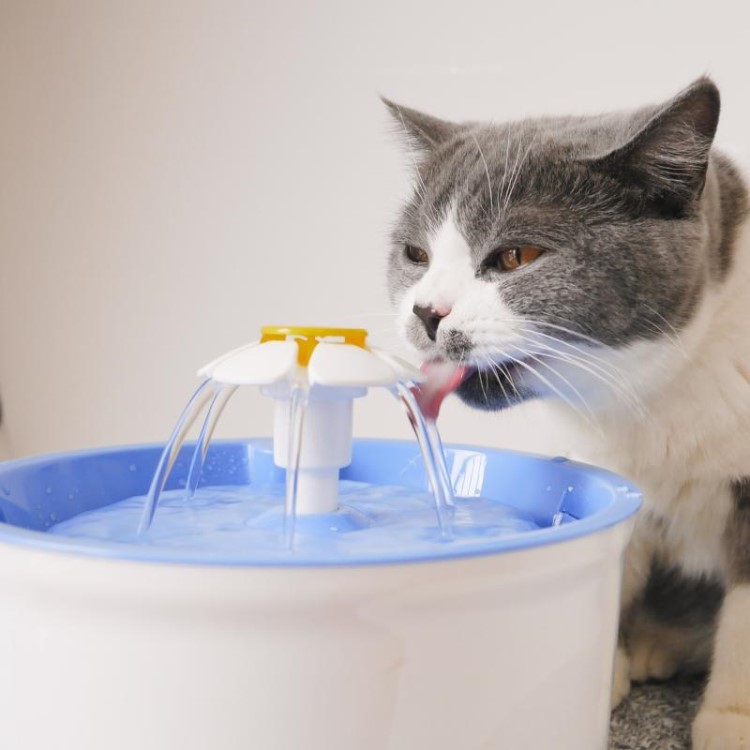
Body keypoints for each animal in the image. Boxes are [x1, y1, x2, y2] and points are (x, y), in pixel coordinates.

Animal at [384, 78, 750, 750]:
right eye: (415, 254)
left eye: (515, 256)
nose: (426, 312)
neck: (653, 399)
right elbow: (616, 569)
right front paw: (598, 674)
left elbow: (745, 616)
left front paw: (732, 721)